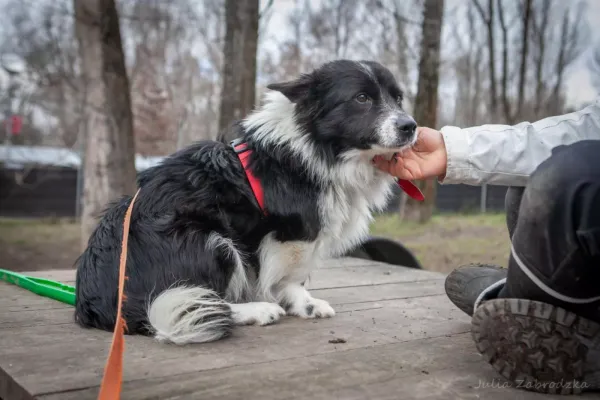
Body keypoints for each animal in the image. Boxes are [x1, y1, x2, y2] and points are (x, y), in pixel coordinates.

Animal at [74, 59, 418, 344]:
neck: (314, 147)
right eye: (361, 99)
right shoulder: (293, 235)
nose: (410, 126)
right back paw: (255, 311)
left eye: (398, 98)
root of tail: (105, 305)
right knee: (204, 303)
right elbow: (292, 277)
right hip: (210, 240)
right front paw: (303, 304)